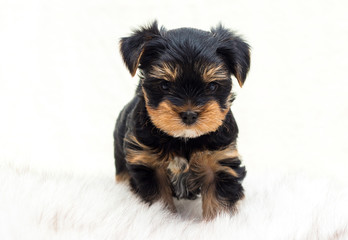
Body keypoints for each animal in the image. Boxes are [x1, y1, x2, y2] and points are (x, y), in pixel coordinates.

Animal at [114, 21, 250, 220]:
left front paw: (218, 221)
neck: (183, 139)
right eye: (164, 85)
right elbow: (158, 200)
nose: (189, 114)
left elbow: (219, 200)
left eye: (212, 86)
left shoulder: (220, 160)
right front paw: (164, 217)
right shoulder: (148, 163)